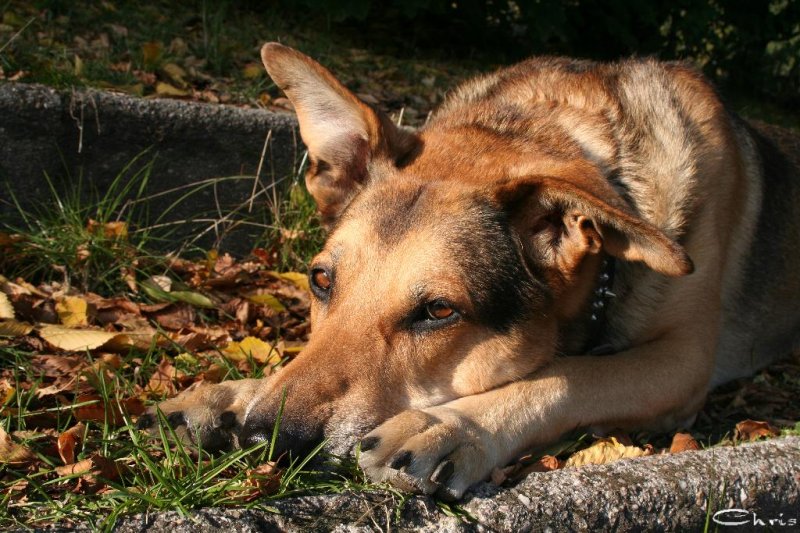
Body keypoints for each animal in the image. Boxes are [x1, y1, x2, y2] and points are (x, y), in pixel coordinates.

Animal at [141, 42, 800, 498]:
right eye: (321, 280)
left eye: (439, 311)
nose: (267, 441)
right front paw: (232, 395)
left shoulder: (683, 362)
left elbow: (569, 376)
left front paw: (451, 426)